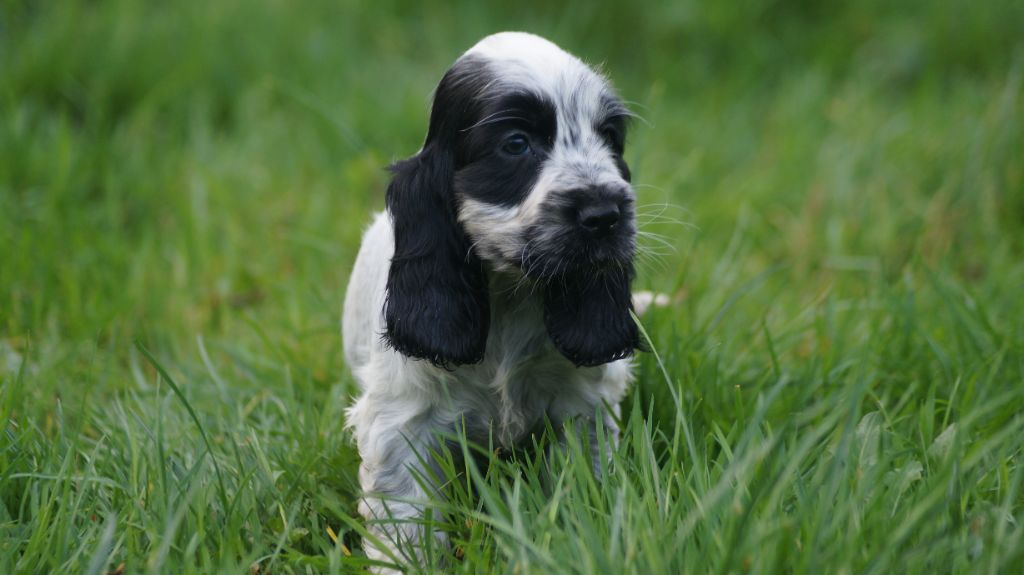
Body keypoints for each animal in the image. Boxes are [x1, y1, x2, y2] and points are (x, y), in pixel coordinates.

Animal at [344, 31, 647, 564]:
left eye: (610, 137)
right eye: (516, 145)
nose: (605, 214)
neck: (509, 294)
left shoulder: (581, 405)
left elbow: (579, 482)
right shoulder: (402, 419)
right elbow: (405, 517)